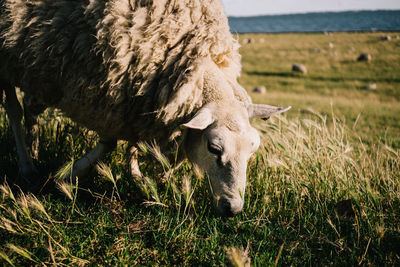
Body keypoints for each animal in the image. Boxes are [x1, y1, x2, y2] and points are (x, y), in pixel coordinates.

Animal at [1, 0, 292, 218]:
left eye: (252, 150)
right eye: (213, 148)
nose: (233, 208)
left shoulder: (132, 99)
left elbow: (130, 143)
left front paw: (140, 175)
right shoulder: (108, 90)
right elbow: (109, 143)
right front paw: (67, 176)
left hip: (38, 67)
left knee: (31, 108)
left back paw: (34, 148)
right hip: (9, 57)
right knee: (14, 111)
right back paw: (27, 165)